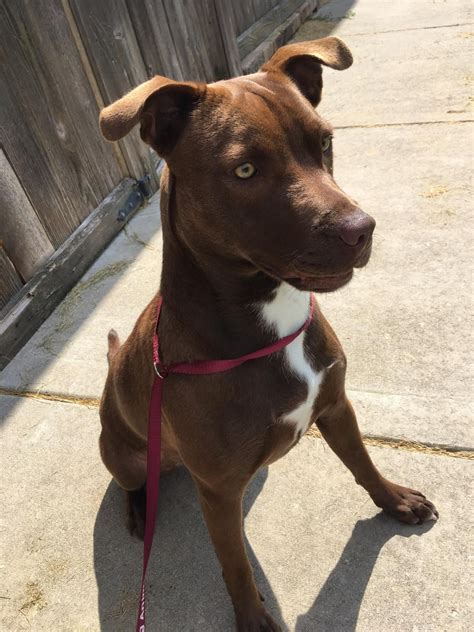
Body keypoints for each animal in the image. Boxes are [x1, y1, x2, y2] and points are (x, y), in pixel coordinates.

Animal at [99, 35, 436, 632]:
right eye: (245, 170)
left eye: (325, 143)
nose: (361, 230)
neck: (271, 321)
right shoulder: (217, 491)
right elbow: (235, 566)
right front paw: (253, 619)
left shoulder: (335, 404)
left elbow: (363, 463)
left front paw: (393, 500)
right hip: (122, 452)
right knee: (135, 483)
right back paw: (141, 508)